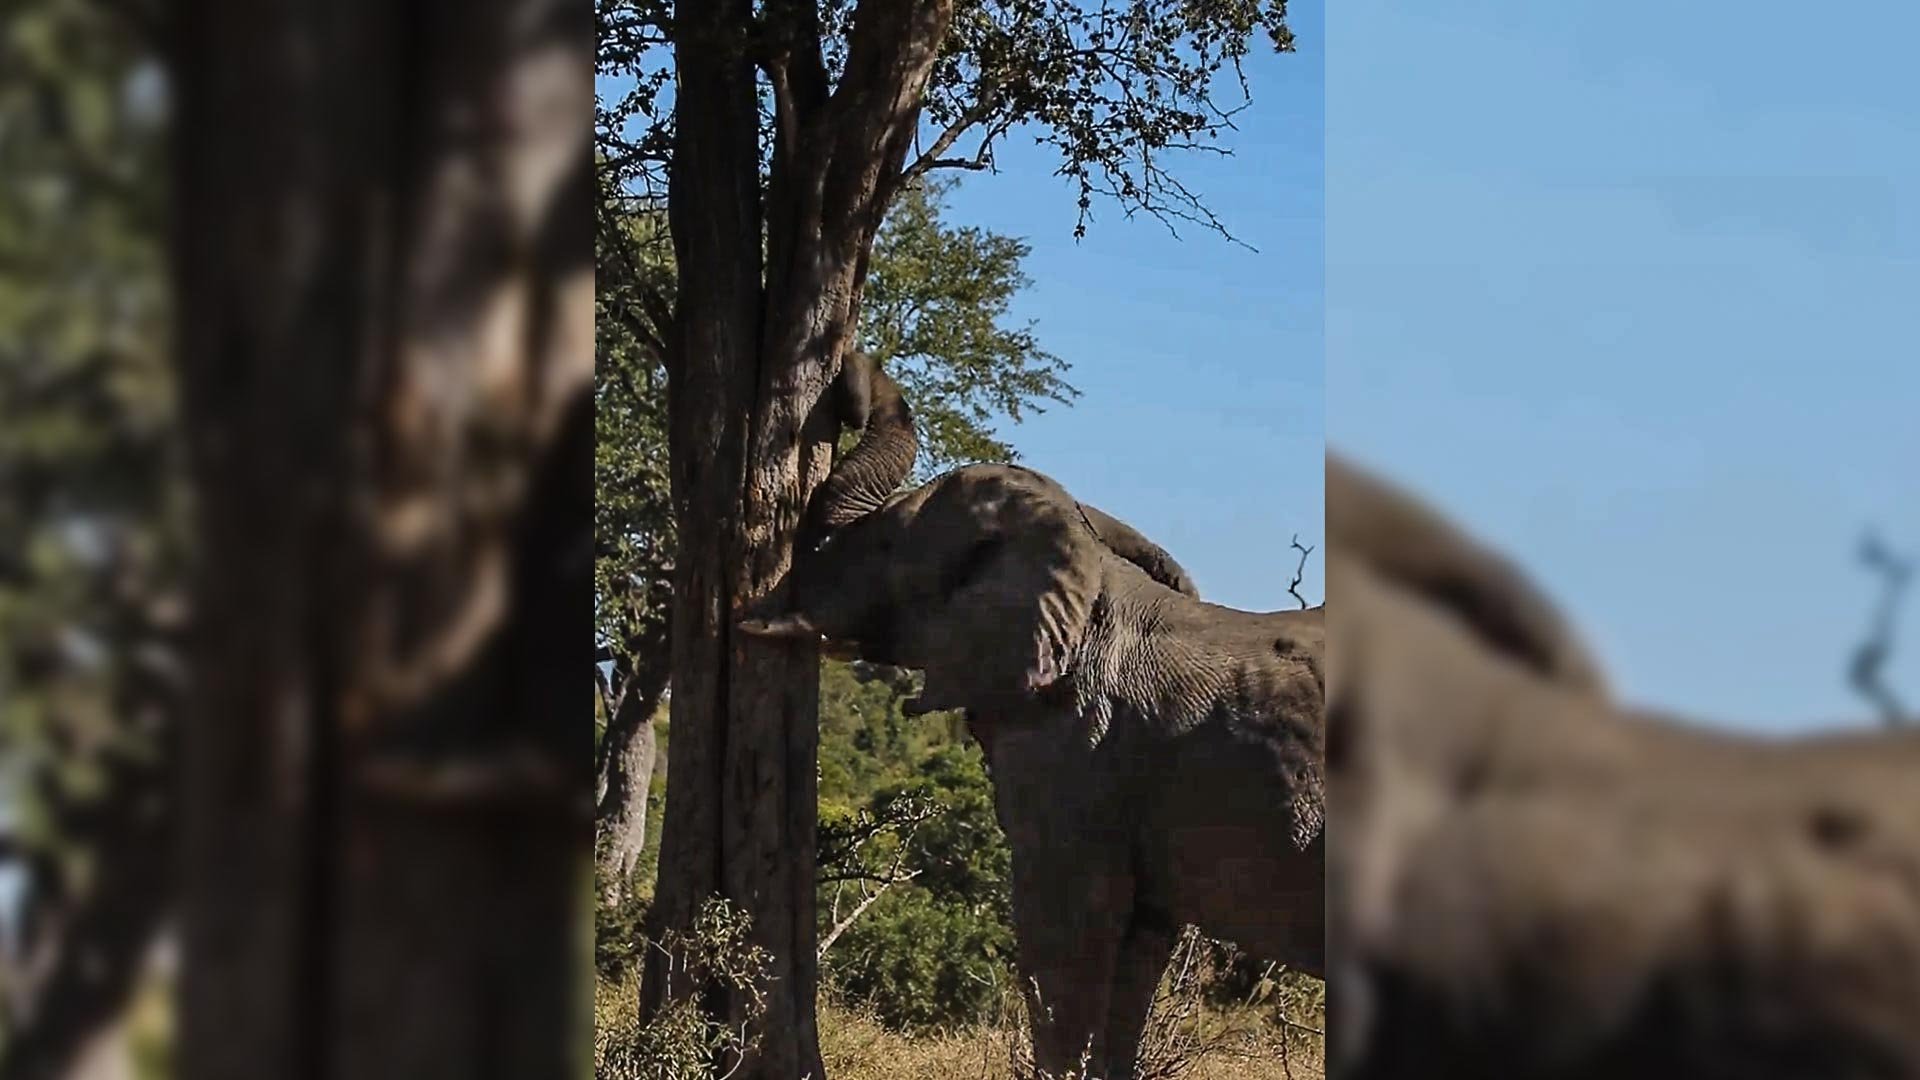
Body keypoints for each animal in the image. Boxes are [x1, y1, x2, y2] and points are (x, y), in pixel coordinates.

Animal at [741, 353, 1325, 1079]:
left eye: (884, 547)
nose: (852, 372)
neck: (1091, 569)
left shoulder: (1081, 756)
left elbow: (1065, 933)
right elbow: (1133, 951)